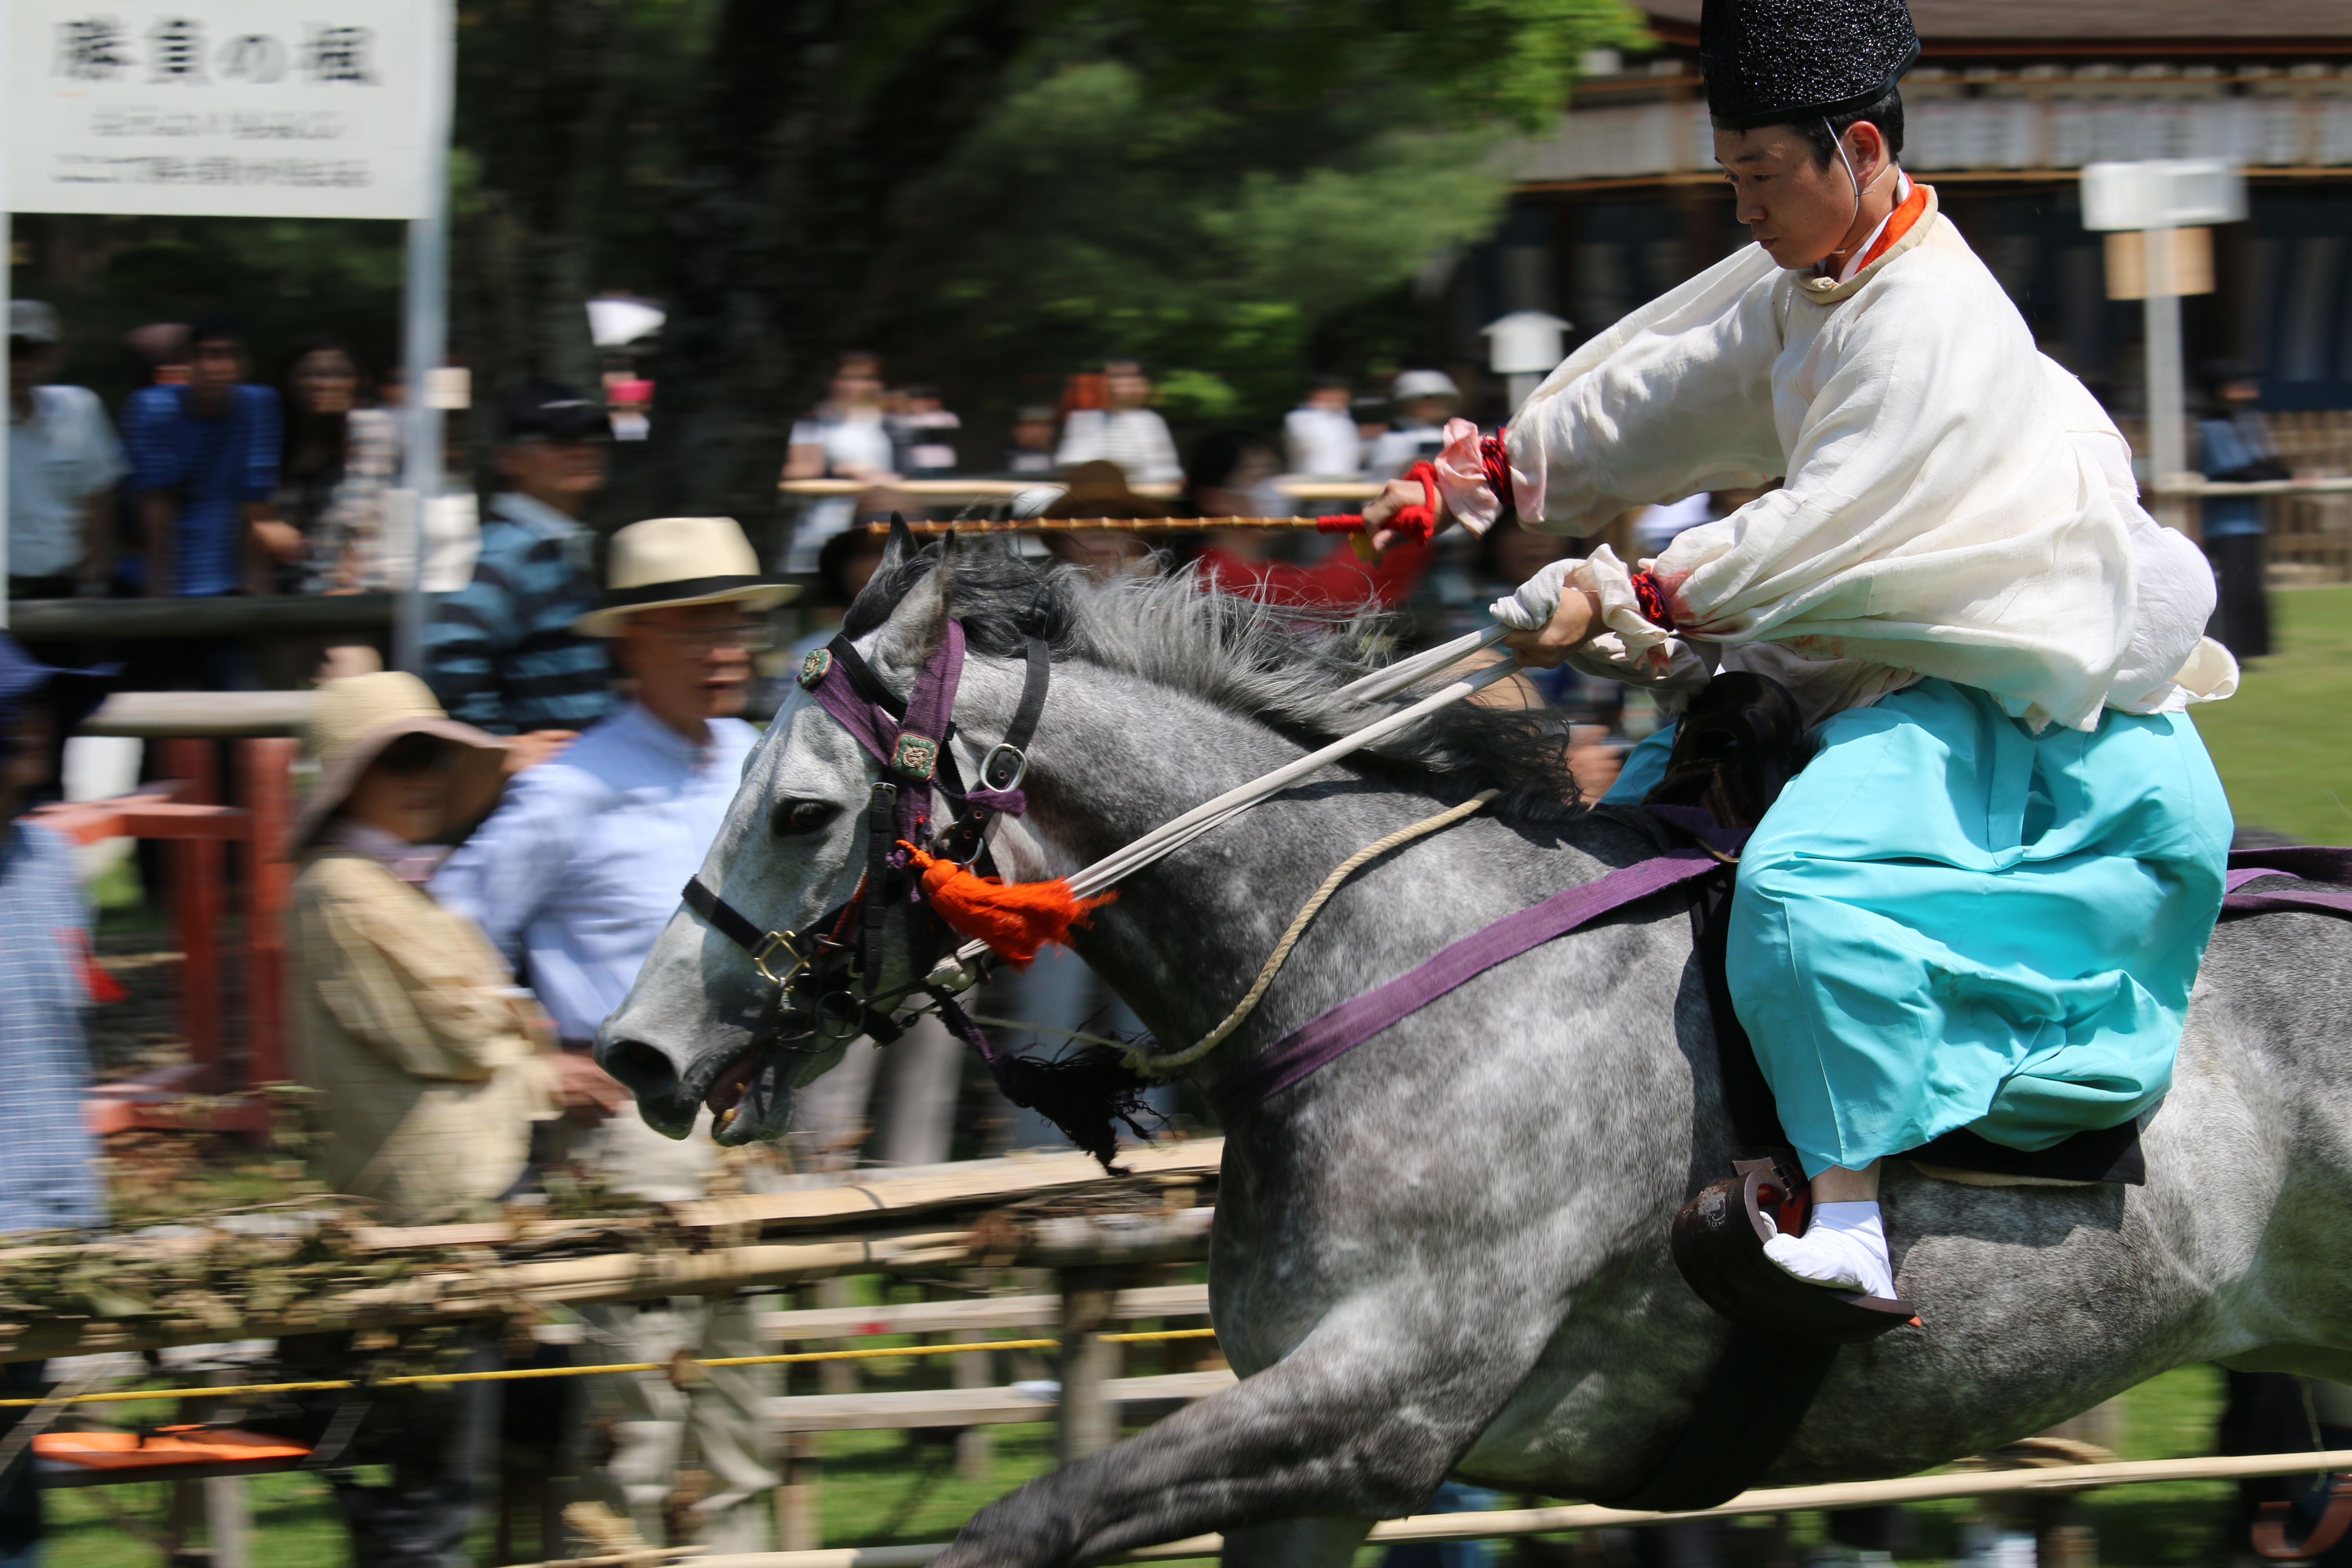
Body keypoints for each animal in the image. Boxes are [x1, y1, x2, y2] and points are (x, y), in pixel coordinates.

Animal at [597, 543, 2352, 1568]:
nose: (639, 1052)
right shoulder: (1327, 1478)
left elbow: (1024, 1520)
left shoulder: (1387, 1396)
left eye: (802, 808)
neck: (1375, 973)